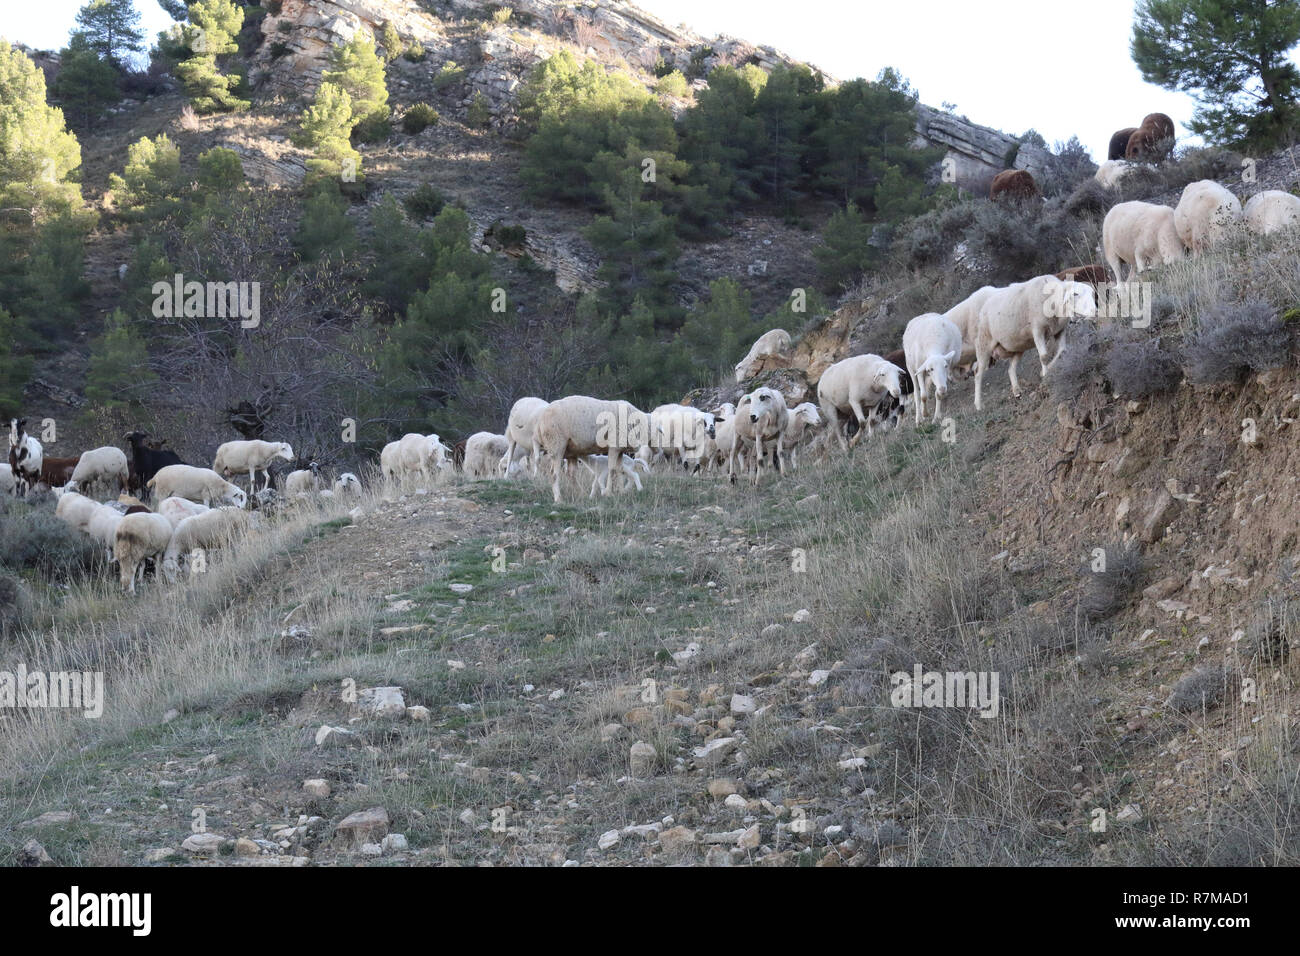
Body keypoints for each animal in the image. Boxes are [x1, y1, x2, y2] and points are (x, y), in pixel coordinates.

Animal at [971, 275, 1097, 410]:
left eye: (1092, 293)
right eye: (1075, 294)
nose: (1094, 311)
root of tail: (984, 306)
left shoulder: (1060, 330)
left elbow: (1062, 350)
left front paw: (1044, 371)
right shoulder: (1037, 330)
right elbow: (1044, 356)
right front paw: (1046, 374)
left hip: (1018, 347)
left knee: (1010, 368)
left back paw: (1016, 391)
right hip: (984, 344)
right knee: (978, 374)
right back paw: (978, 405)